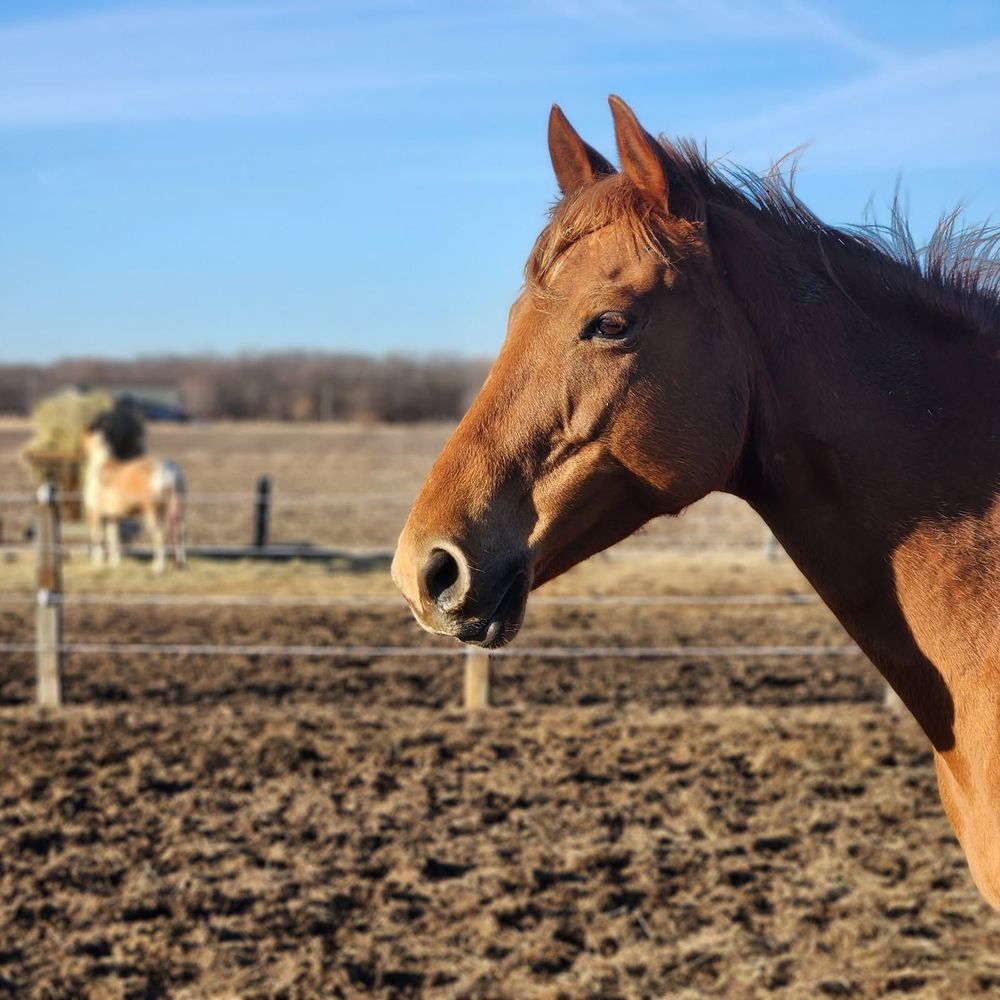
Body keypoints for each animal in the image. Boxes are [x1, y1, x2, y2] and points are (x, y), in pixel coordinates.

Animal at [81, 427, 187, 572]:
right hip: (175, 509)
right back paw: (180, 564)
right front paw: (114, 563)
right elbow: (113, 538)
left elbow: (97, 537)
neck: (101, 468)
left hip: (152, 512)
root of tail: (167, 469)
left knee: (159, 536)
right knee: (179, 534)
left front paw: (97, 563)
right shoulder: (112, 517)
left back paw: (158, 566)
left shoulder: (95, 514)